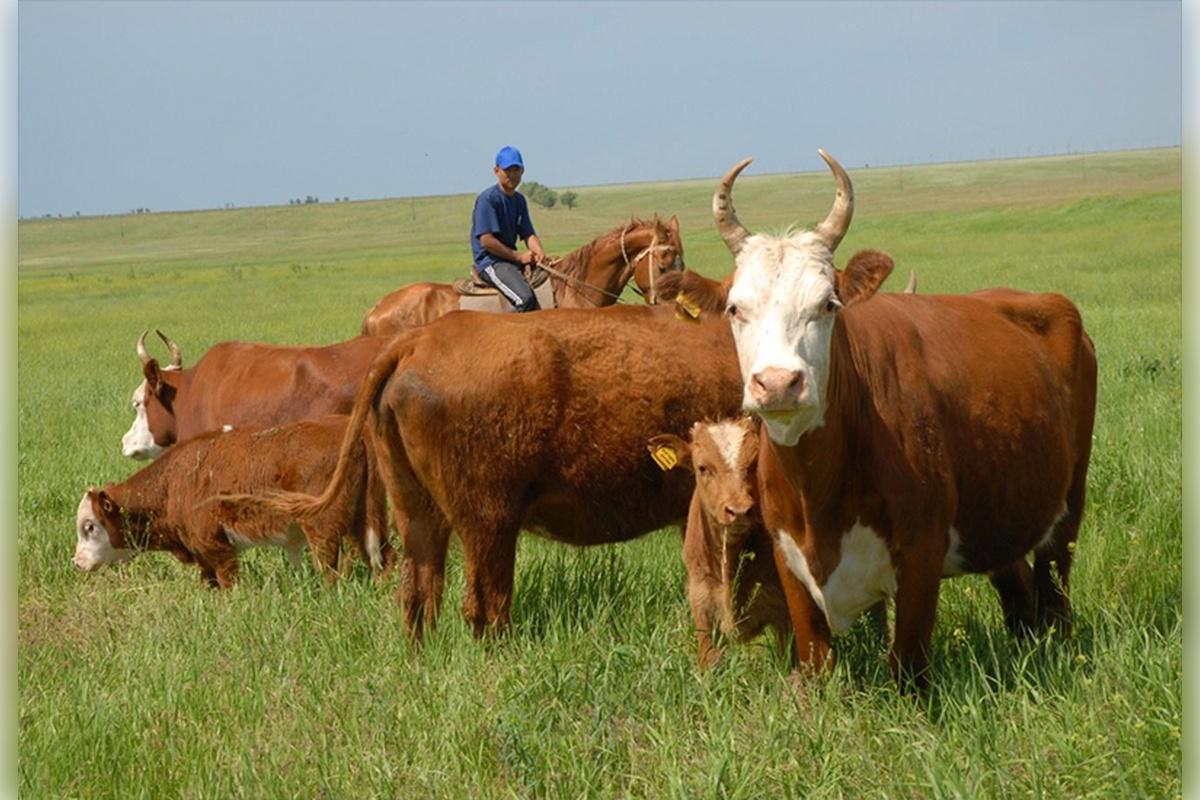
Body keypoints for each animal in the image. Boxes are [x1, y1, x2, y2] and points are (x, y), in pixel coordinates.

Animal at [73, 417, 393, 585]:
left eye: (89, 526)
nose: (76, 563)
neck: (174, 483)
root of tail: (349, 429)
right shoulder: (202, 555)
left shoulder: (216, 548)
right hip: (365, 522)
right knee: (382, 559)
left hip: (323, 529)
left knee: (331, 570)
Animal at [691, 151, 1099, 690]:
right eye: (736, 308)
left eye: (827, 304)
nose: (777, 383)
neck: (818, 485)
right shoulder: (787, 558)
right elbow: (816, 663)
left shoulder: (922, 553)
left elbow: (907, 665)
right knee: (1017, 588)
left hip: (1069, 502)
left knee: (1054, 586)